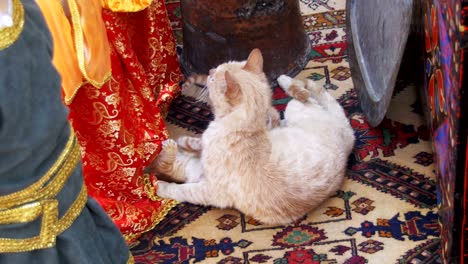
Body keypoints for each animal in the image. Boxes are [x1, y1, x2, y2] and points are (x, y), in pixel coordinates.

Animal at [148, 48, 352, 224]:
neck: (248, 127)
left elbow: (181, 190)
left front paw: (160, 187)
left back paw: (286, 80)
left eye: (212, 78)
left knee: (309, 96)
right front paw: (186, 143)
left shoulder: (210, 190)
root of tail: (348, 143)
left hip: (293, 107)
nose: (210, 70)